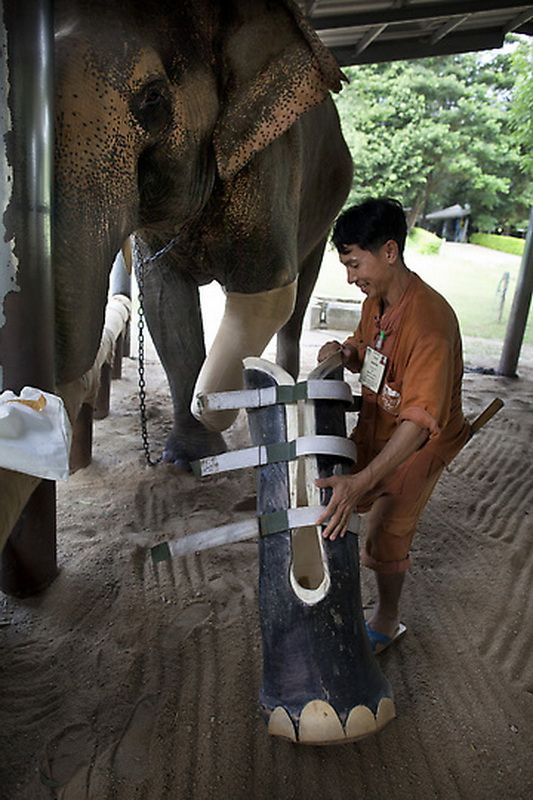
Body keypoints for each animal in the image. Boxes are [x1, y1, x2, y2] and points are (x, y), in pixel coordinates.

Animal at [13, 0, 354, 472]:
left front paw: (217, 408)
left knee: (298, 300)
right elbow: (165, 302)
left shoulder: (272, 158)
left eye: (152, 97)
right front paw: (187, 459)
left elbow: (264, 291)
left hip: (326, 206)